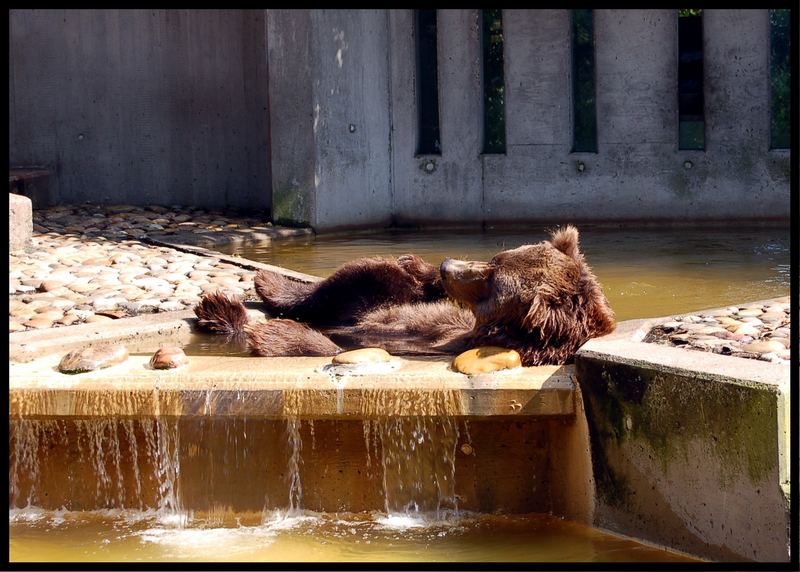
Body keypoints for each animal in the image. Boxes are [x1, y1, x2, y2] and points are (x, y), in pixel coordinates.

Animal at [195, 225, 620, 366]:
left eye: (492, 281)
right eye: (495, 258)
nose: (448, 264)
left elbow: (344, 349)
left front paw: (276, 335)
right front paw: (421, 266)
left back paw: (226, 310)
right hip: (373, 296)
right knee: (363, 275)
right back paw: (259, 285)